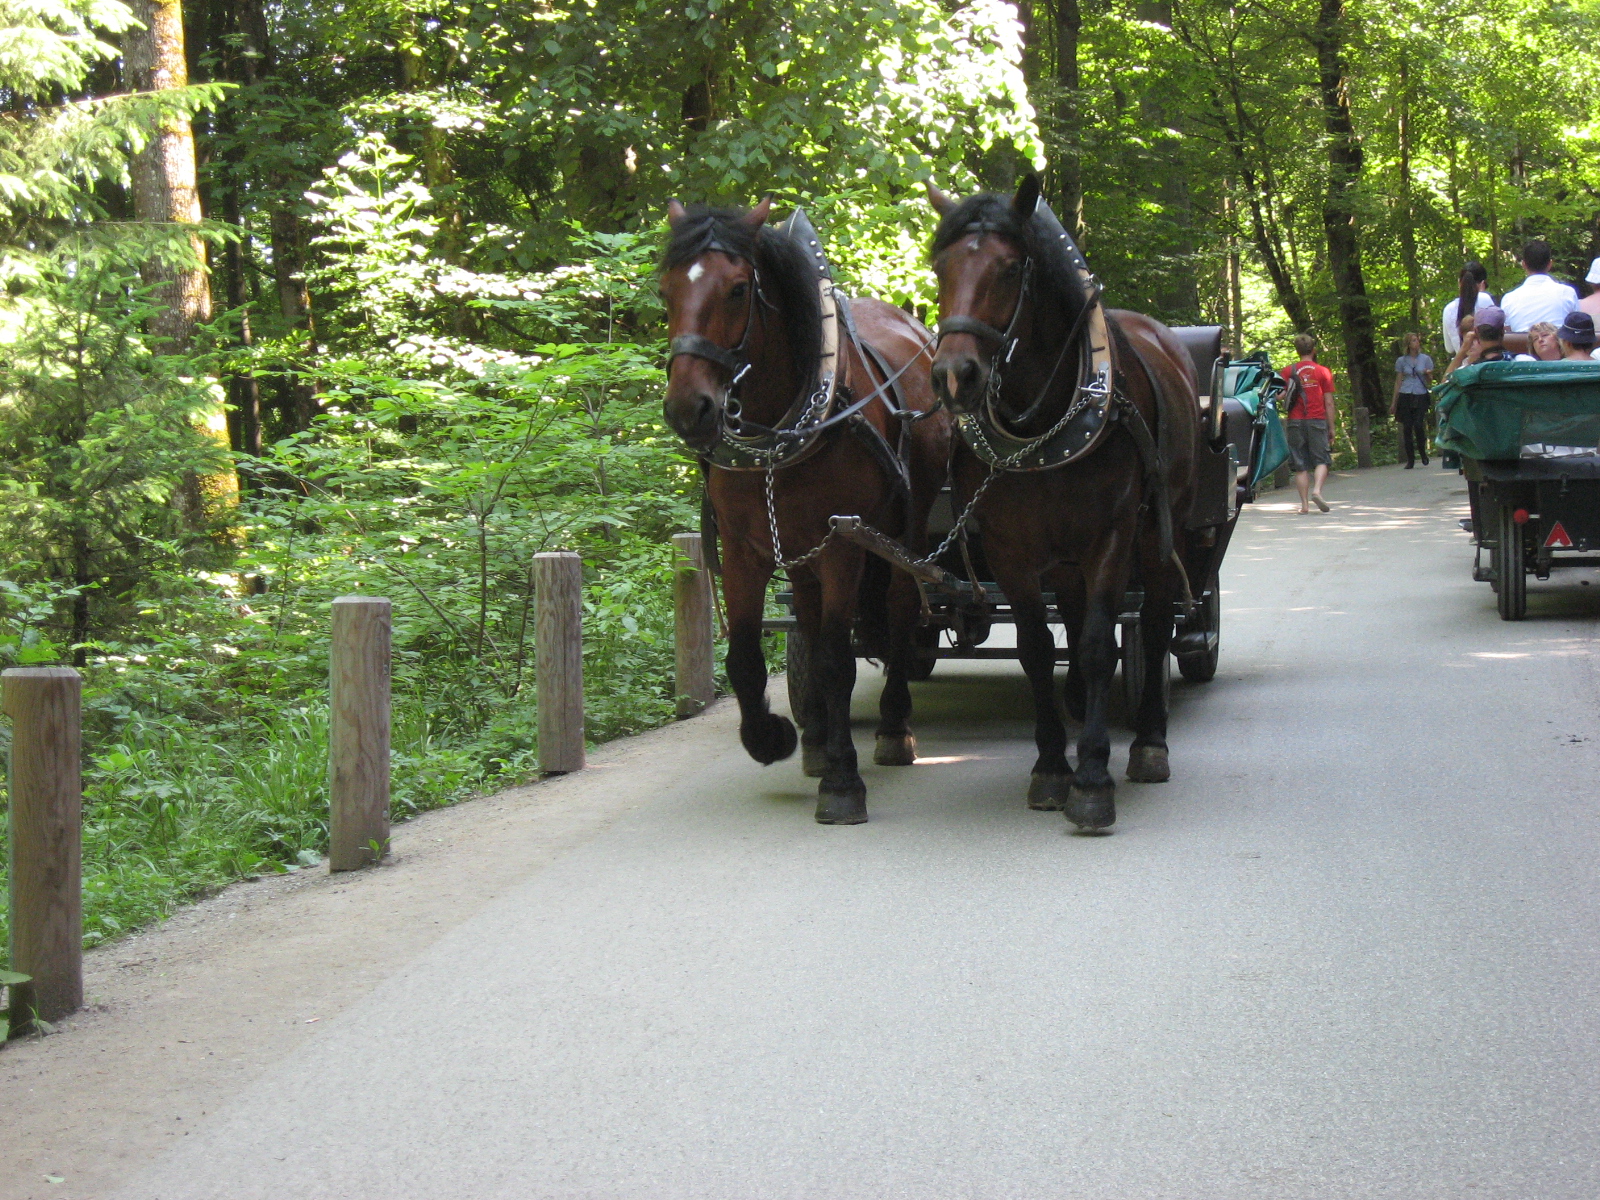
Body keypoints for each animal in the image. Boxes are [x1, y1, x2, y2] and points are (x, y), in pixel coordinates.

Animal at [659, 202, 947, 832]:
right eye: (665, 290)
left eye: (738, 289)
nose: (688, 408)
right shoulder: (744, 551)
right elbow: (747, 656)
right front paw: (773, 736)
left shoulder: (844, 545)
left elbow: (838, 660)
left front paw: (843, 782)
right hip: (798, 552)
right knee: (809, 628)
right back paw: (816, 737)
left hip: (902, 534)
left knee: (897, 613)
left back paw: (893, 727)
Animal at [928, 176, 1203, 838]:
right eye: (940, 266)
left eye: (1008, 269)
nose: (953, 376)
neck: (1043, 422)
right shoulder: (1011, 549)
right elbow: (1036, 648)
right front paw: (1052, 766)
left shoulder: (1110, 535)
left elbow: (1104, 644)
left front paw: (1093, 778)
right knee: (1075, 620)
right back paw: (1079, 704)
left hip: (1165, 530)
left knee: (1156, 623)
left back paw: (1148, 742)